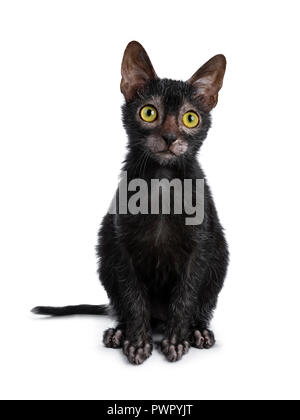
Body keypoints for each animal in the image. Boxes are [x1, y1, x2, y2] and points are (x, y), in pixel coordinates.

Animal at [32, 41, 229, 366]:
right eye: (149, 113)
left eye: (190, 118)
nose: (170, 137)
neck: (162, 182)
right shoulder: (120, 247)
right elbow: (133, 297)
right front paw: (137, 341)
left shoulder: (200, 247)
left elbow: (186, 296)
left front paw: (176, 340)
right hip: (104, 249)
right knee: (123, 305)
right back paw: (119, 331)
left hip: (219, 255)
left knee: (201, 306)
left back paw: (198, 332)